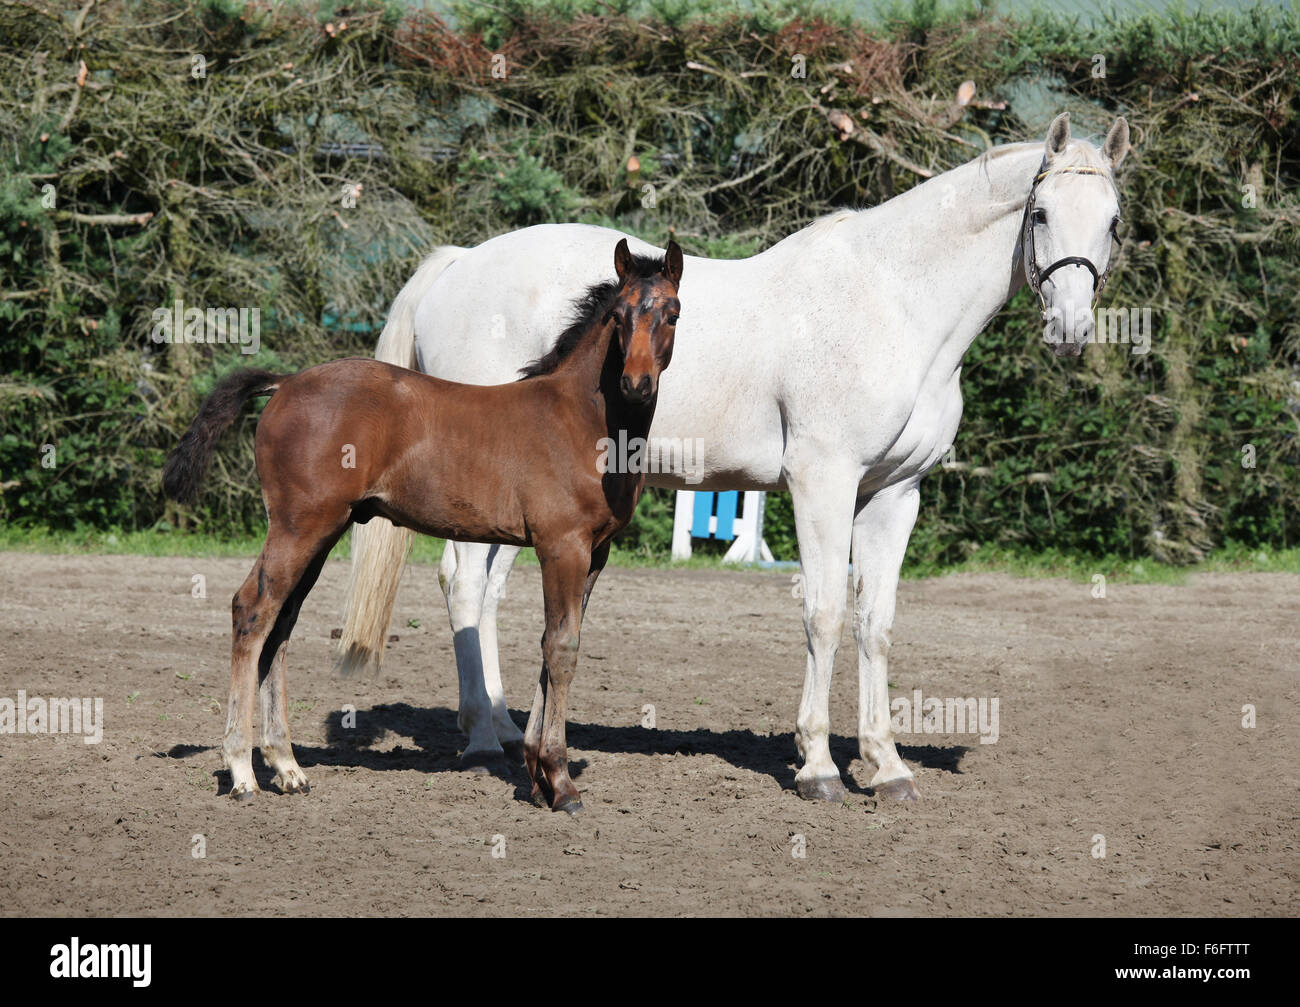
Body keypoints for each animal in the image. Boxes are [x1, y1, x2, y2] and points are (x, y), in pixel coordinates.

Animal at [165, 236, 681, 810]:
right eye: (618, 316)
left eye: (672, 314)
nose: (636, 385)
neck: (581, 419)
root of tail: (286, 383)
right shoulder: (561, 546)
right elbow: (562, 648)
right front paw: (560, 781)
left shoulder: (594, 553)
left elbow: (554, 648)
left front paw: (537, 774)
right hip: (299, 526)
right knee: (252, 610)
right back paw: (242, 771)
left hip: (319, 532)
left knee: (281, 623)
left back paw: (287, 766)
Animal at [338, 110, 1128, 805]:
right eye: (1041, 214)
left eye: (1115, 220)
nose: (1070, 329)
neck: (894, 302)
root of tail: (457, 265)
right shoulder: (822, 481)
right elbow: (824, 613)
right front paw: (818, 768)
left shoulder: (895, 493)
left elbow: (876, 622)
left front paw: (887, 767)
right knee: (464, 584)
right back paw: (479, 742)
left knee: (489, 592)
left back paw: (506, 729)